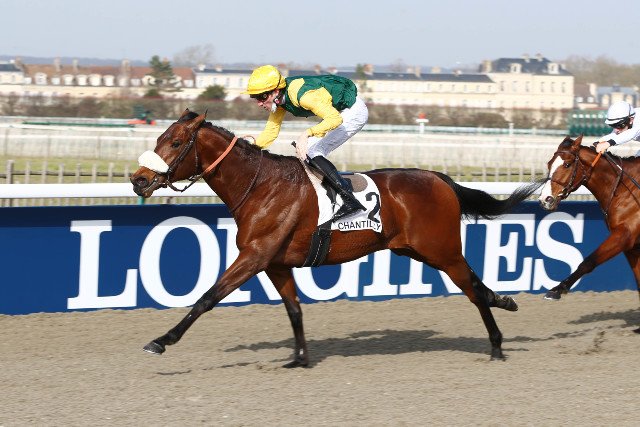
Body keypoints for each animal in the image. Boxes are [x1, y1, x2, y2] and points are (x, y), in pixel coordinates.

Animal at [130, 109, 542, 366]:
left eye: (176, 142)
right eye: (160, 136)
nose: (138, 179)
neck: (260, 186)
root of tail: (439, 178)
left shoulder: (255, 255)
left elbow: (207, 297)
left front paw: (161, 341)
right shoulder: (275, 263)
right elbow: (294, 310)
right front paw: (299, 358)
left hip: (441, 249)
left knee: (472, 290)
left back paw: (496, 344)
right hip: (416, 250)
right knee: (475, 282)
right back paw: (505, 301)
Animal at [539, 135, 640, 332]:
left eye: (567, 164)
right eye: (549, 164)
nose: (545, 199)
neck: (625, 190)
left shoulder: (623, 236)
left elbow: (588, 262)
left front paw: (556, 290)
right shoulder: (631, 245)